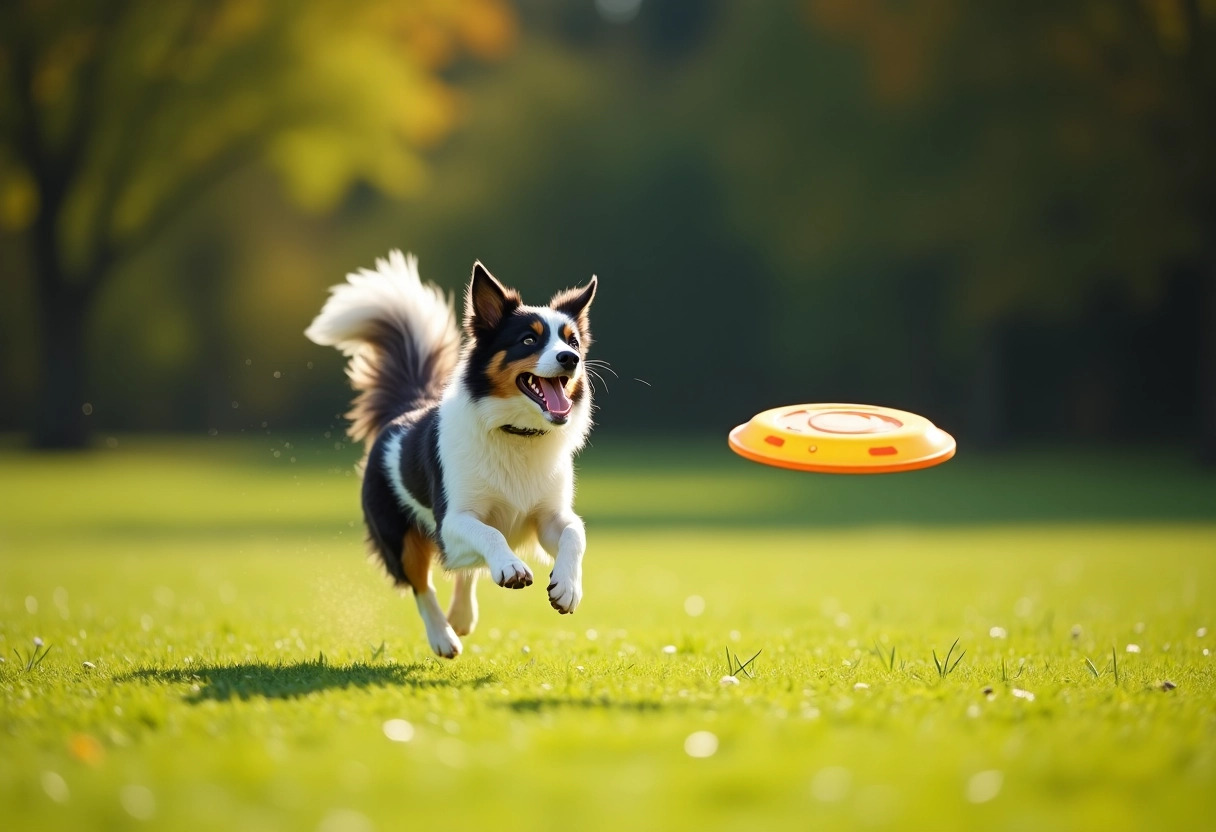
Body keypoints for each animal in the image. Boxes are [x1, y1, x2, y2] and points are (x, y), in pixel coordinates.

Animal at [299, 250, 593, 661]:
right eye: (529, 339)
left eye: (574, 341)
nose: (570, 359)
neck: (516, 434)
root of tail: (407, 406)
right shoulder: (451, 521)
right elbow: (489, 534)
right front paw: (511, 567)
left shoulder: (547, 516)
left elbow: (574, 533)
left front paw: (567, 587)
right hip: (397, 537)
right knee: (422, 583)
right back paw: (443, 636)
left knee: (464, 571)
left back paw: (462, 617)